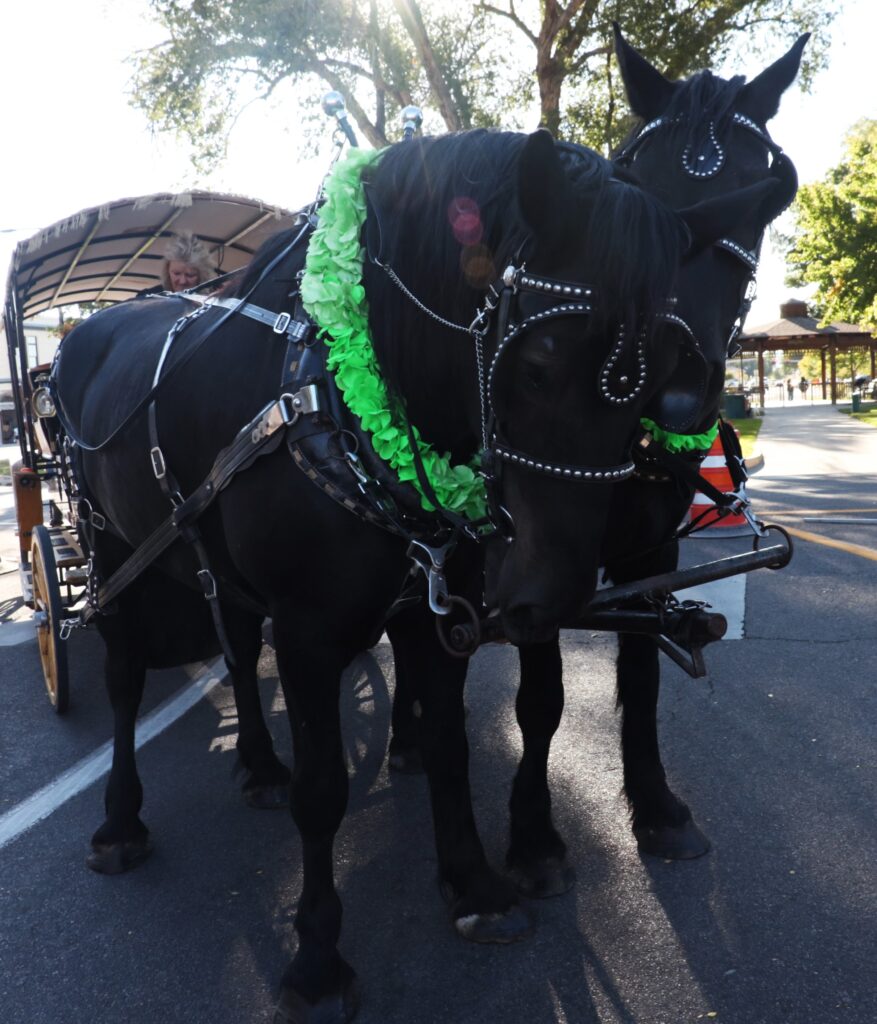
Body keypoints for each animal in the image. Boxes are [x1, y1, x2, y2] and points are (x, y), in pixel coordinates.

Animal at [53, 130, 725, 1024]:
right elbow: (324, 791)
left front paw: (473, 884)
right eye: (537, 361)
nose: (547, 598)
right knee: (126, 676)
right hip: (108, 549)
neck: (329, 393)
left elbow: (446, 743)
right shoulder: (307, 630)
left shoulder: (433, 608)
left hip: (206, 561)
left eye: (659, 379)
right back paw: (119, 822)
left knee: (235, 650)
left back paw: (258, 765)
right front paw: (316, 960)